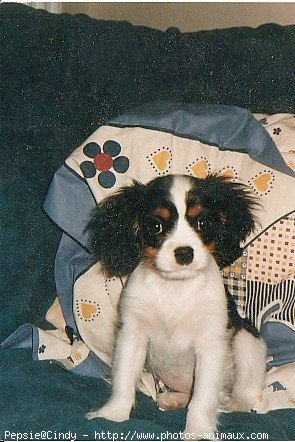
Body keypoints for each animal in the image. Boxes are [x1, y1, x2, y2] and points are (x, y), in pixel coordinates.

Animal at [85, 174, 268, 436]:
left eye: (202, 223)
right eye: (156, 227)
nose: (184, 253)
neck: (175, 288)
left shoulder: (210, 343)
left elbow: (203, 397)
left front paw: (198, 432)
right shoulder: (133, 335)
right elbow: (123, 380)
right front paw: (112, 414)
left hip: (247, 341)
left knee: (245, 393)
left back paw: (229, 403)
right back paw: (176, 399)